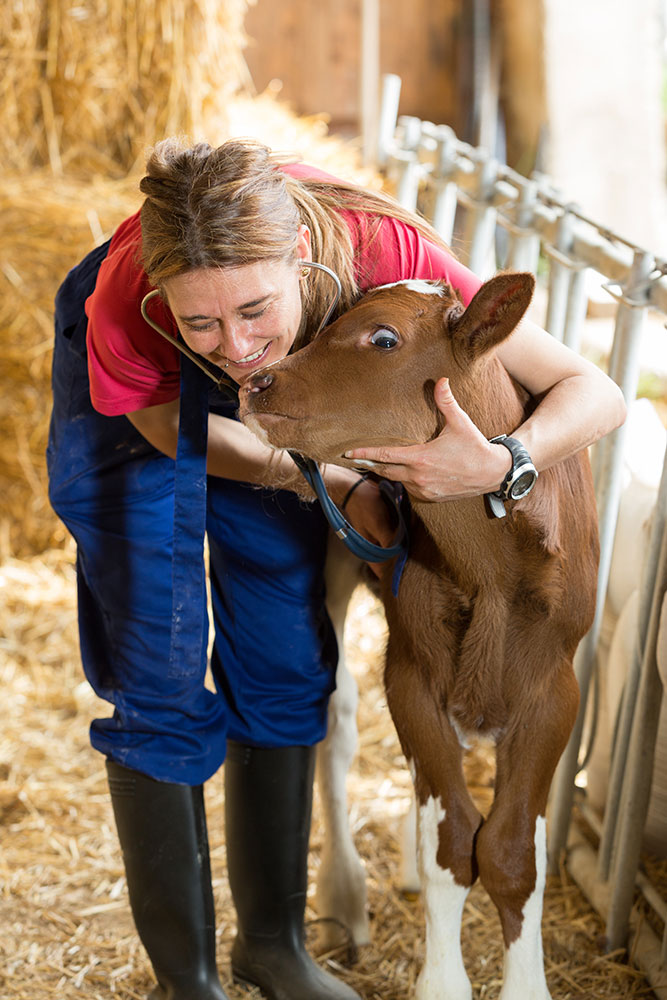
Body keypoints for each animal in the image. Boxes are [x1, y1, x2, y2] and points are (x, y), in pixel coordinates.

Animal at [239, 276, 600, 1000]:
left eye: (383, 337)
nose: (259, 381)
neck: (490, 569)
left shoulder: (554, 692)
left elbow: (513, 852)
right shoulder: (411, 674)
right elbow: (453, 843)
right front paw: (441, 981)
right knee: (337, 722)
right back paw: (345, 893)